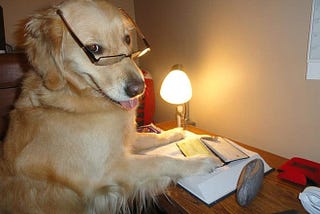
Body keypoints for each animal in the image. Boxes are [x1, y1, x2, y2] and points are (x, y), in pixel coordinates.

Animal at [0, 0, 220, 213]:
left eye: (127, 39)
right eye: (94, 49)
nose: (139, 88)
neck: (75, 95)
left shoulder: (125, 141)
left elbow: (152, 137)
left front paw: (177, 133)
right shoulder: (108, 171)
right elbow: (159, 160)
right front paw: (199, 162)